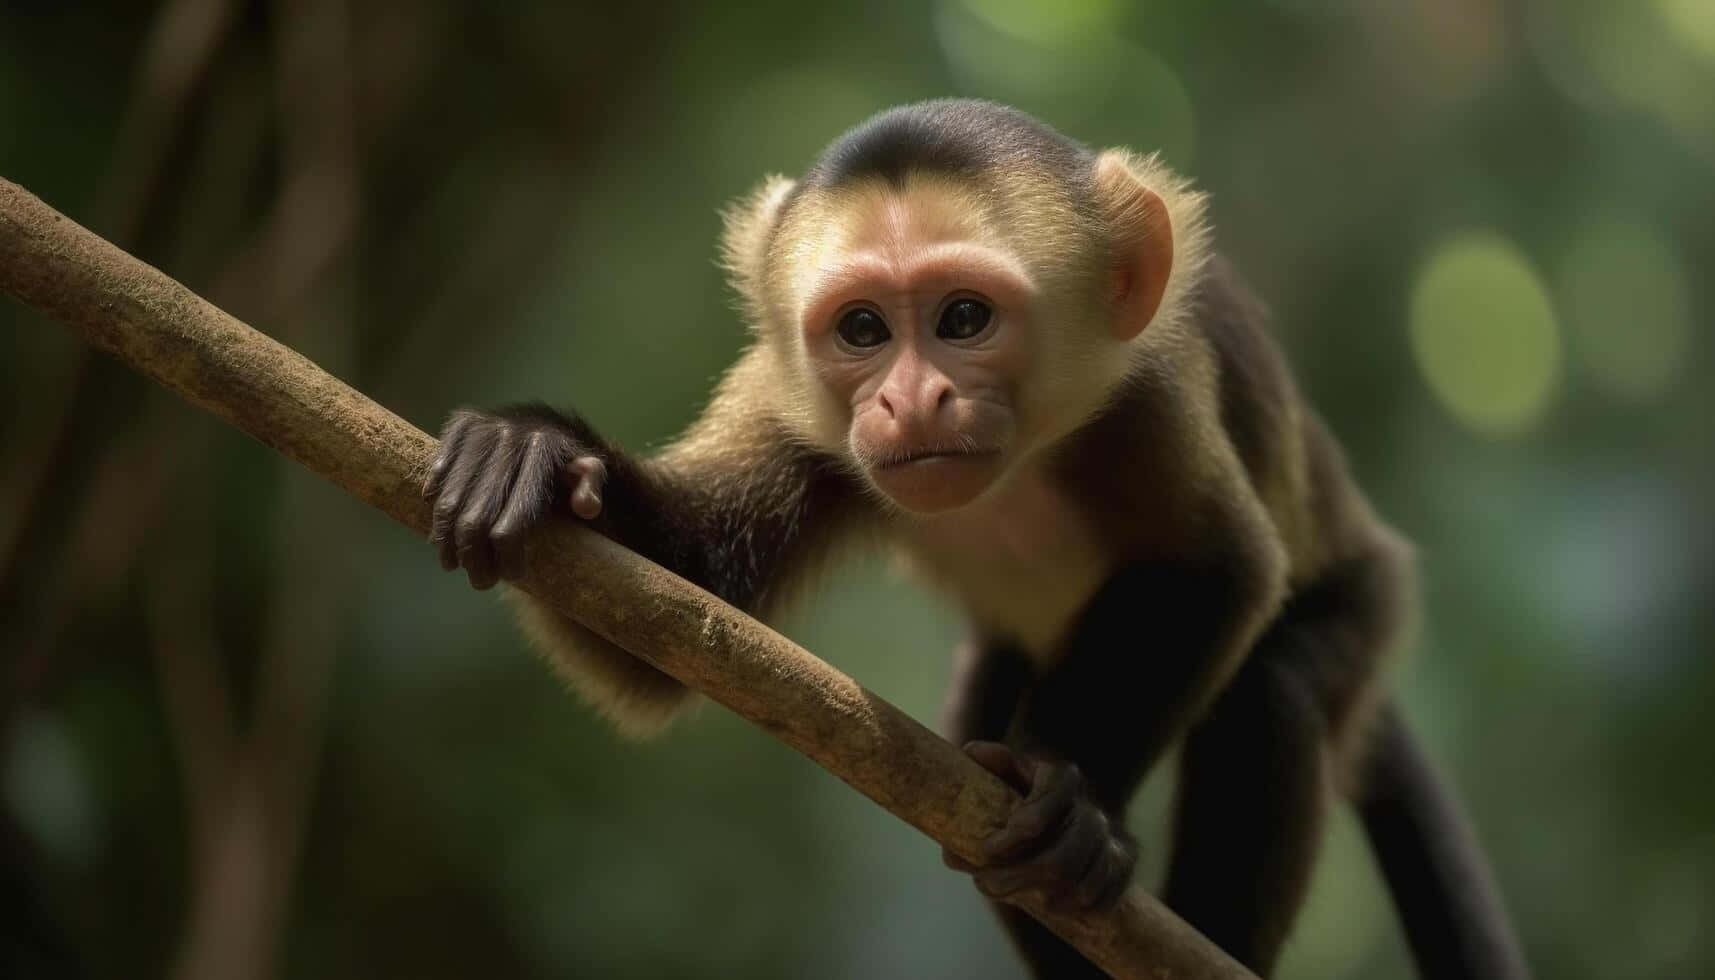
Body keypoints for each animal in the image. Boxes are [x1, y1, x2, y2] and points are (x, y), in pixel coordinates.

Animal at [422, 99, 1528, 978]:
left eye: (962, 318)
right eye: (862, 330)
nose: (911, 398)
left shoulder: (1147, 391)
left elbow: (1218, 568)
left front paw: (1073, 798)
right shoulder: (792, 403)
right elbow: (668, 618)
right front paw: (540, 453)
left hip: (1369, 602)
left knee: (1284, 677)